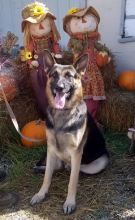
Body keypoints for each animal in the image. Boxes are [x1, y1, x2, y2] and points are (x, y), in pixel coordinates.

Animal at [30, 49, 109, 215]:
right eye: (54, 75)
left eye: (69, 76)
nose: (59, 87)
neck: (63, 113)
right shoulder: (51, 149)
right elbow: (47, 177)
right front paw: (41, 194)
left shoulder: (76, 153)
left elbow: (72, 181)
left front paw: (70, 202)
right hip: (55, 155)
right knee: (56, 168)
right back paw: (41, 168)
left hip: (99, 162)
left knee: (75, 170)